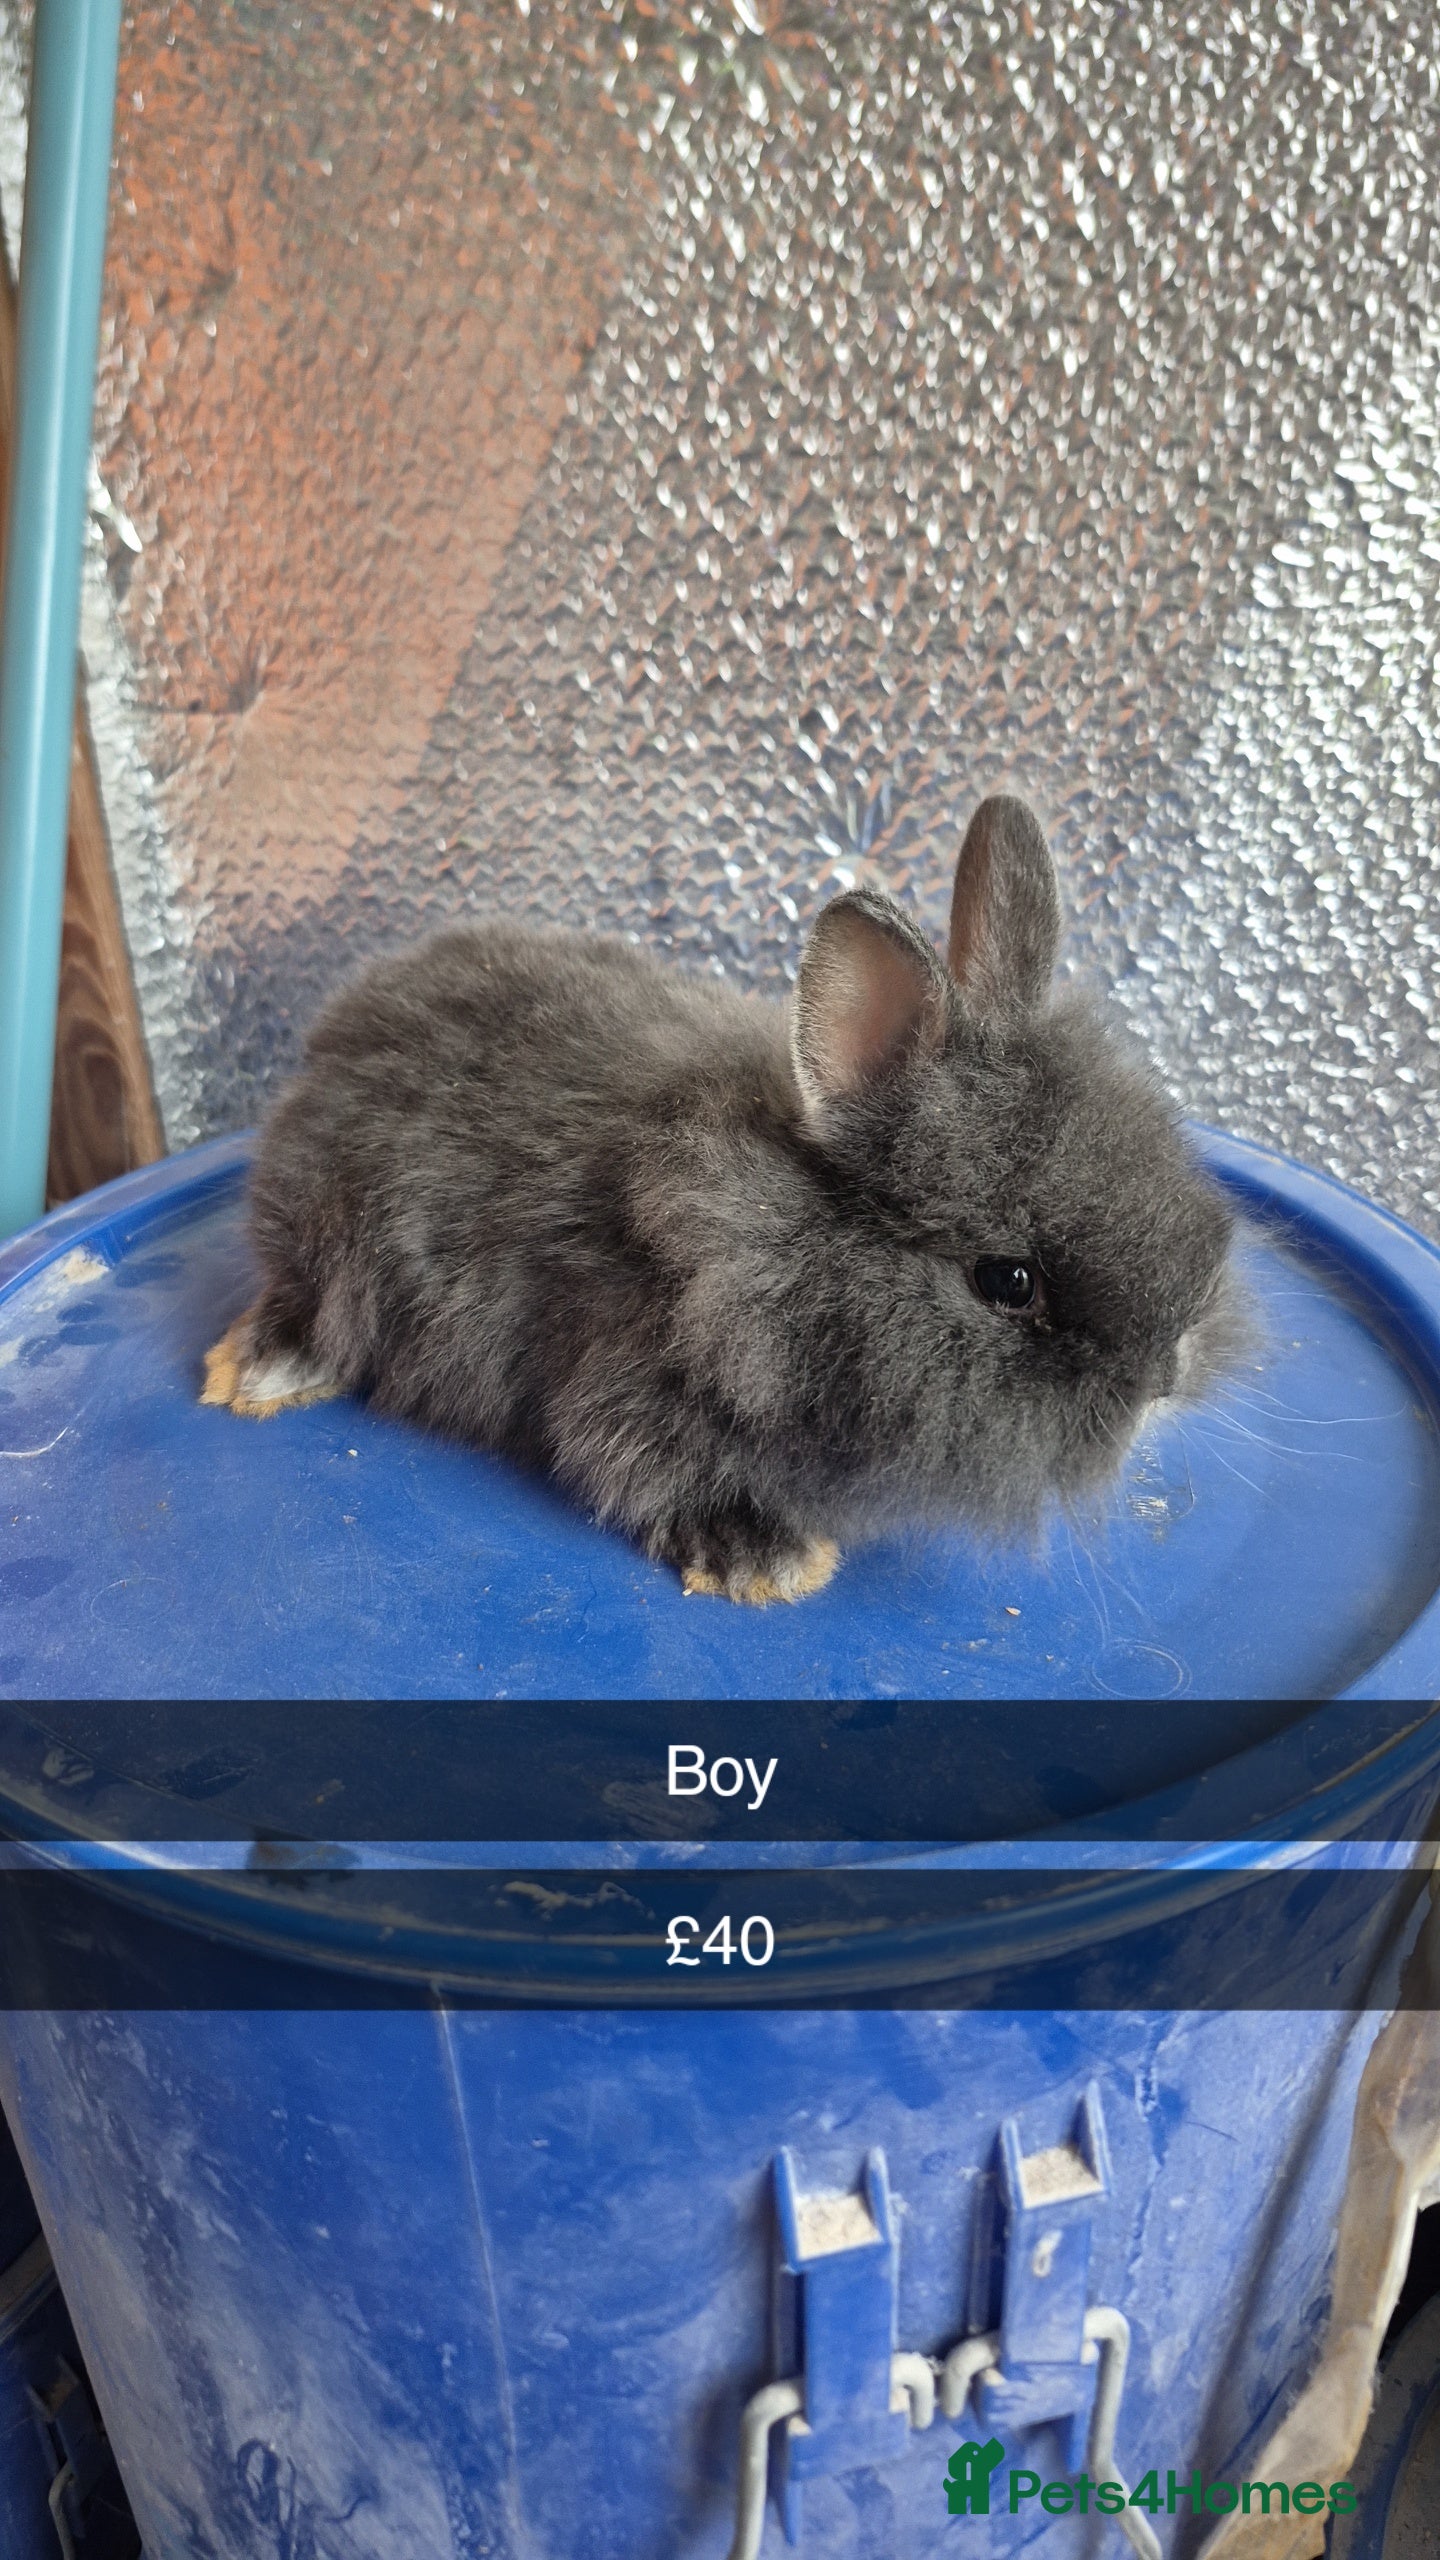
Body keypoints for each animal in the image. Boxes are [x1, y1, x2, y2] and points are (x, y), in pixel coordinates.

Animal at [203, 793, 1240, 1603]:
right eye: (1008, 1281)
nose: (1165, 1380)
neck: (771, 1244)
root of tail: (338, 1025)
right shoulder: (626, 1390)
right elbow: (650, 1472)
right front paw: (769, 1563)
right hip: (331, 1239)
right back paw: (260, 1375)